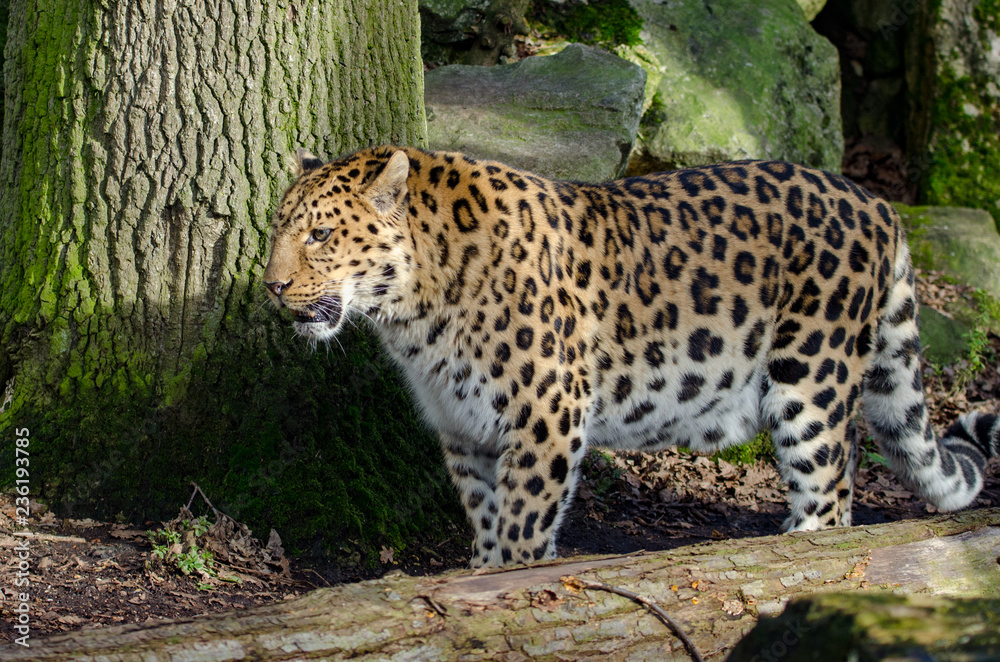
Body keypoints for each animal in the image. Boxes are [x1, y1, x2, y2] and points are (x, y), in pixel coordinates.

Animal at [263, 145, 1000, 567]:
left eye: (321, 235)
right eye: (278, 229)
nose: (270, 285)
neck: (416, 310)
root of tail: (879, 204)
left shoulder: (547, 418)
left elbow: (523, 530)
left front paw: (511, 588)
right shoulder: (464, 432)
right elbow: (486, 525)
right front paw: (479, 581)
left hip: (810, 379)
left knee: (832, 491)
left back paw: (793, 558)